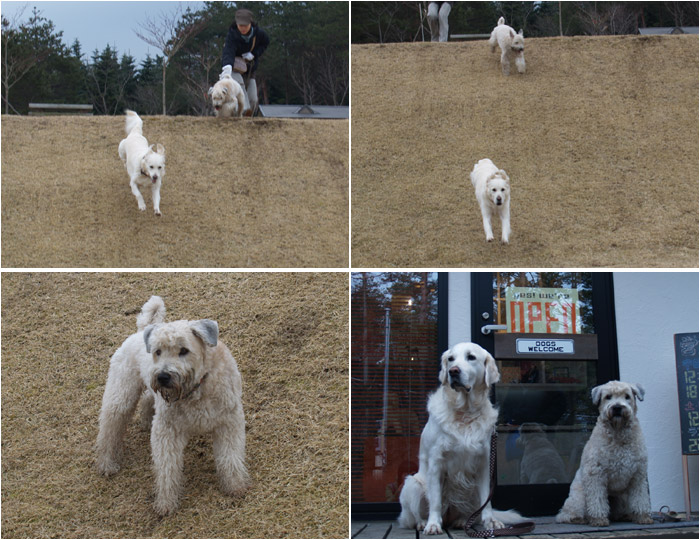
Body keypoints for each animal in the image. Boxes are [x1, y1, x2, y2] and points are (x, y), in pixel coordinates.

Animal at [95, 298, 249, 516]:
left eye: (183, 350)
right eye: (158, 351)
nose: (162, 376)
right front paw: (166, 502)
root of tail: (140, 331)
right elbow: (167, 467)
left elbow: (230, 457)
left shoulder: (228, 422)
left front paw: (235, 486)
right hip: (120, 397)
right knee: (109, 430)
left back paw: (144, 421)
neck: (196, 389)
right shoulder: (167, 431)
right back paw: (107, 463)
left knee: (146, 400)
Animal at [396, 344, 524, 532]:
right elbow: (435, 500)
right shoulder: (436, 463)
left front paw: (491, 521)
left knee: (472, 511)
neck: (465, 412)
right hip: (412, 485)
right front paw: (433, 524)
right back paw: (423, 522)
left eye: (471, 357)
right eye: (450, 359)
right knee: (411, 517)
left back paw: (462, 520)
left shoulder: (484, 463)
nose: (453, 371)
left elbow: (486, 501)